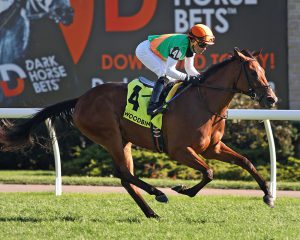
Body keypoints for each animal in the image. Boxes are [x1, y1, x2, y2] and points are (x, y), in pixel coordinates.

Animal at [0, 47, 278, 218]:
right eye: (253, 72)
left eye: (264, 71)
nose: (271, 99)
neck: (203, 102)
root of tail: (81, 99)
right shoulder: (179, 150)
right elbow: (209, 172)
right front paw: (183, 189)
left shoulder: (213, 148)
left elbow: (246, 162)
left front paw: (268, 196)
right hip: (111, 136)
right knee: (124, 174)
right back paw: (158, 194)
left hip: (124, 141)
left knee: (125, 177)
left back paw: (151, 211)